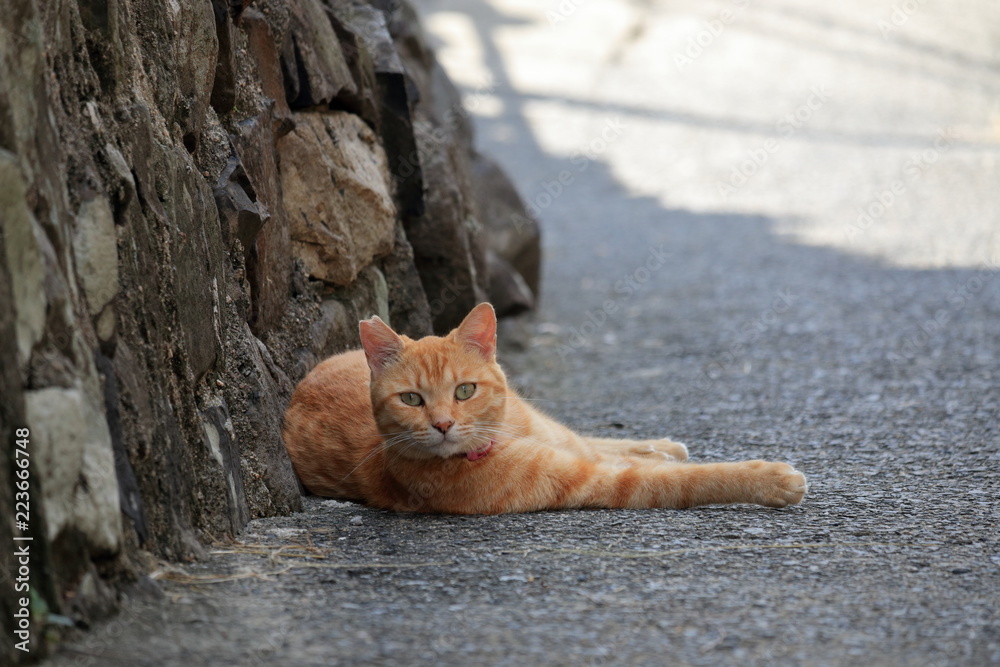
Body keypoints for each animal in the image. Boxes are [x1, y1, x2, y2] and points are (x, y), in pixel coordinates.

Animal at [280, 304, 804, 516]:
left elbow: (619, 454)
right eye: (411, 399)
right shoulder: (592, 480)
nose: (444, 424)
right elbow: (685, 481)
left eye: (464, 390)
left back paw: (662, 446)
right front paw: (771, 478)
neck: (498, 436)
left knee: (595, 441)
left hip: (557, 432)